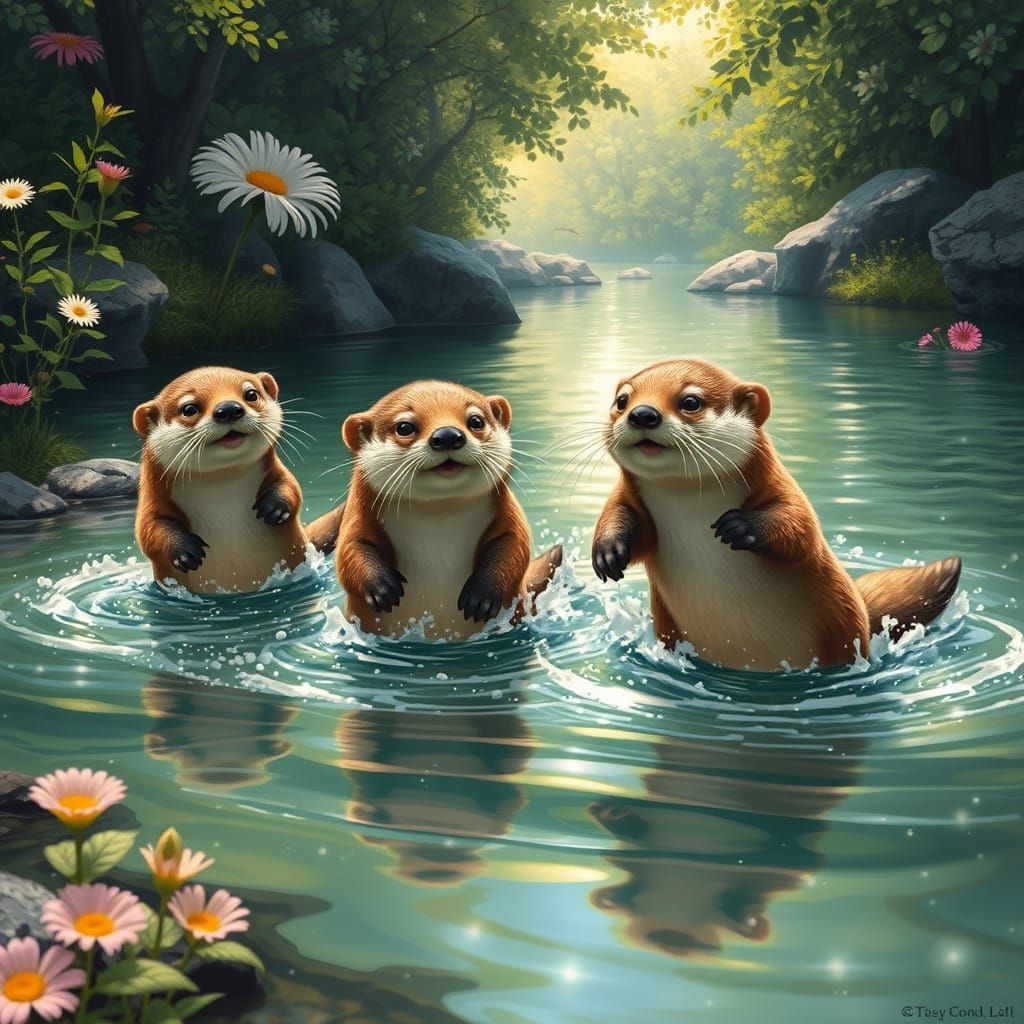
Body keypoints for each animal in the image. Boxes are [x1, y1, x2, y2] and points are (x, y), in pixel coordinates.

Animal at [133, 366, 342, 594]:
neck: (223, 494)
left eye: (251, 394)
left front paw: (274, 507)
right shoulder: (153, 499)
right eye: (189, 409)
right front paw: (184, 551)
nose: (229, 408)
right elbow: (148, 528)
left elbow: (290, 486)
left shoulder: (277, 472)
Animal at [336, 380, 562, 639]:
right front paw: (382, 588)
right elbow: (349, 550)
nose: (447, 435)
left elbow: (514, 544)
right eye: (404, 427)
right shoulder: (358, 517)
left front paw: (482, 595)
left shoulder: (510, 515)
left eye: (476, 421)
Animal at [591, 358, 961, 671]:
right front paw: (608, 551)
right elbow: (622, 516)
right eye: (622, 400)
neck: (690, 507)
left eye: (691, 401)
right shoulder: (635, 504)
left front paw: (739, 526)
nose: (642, 413)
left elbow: (800, 532)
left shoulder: (784, 490)